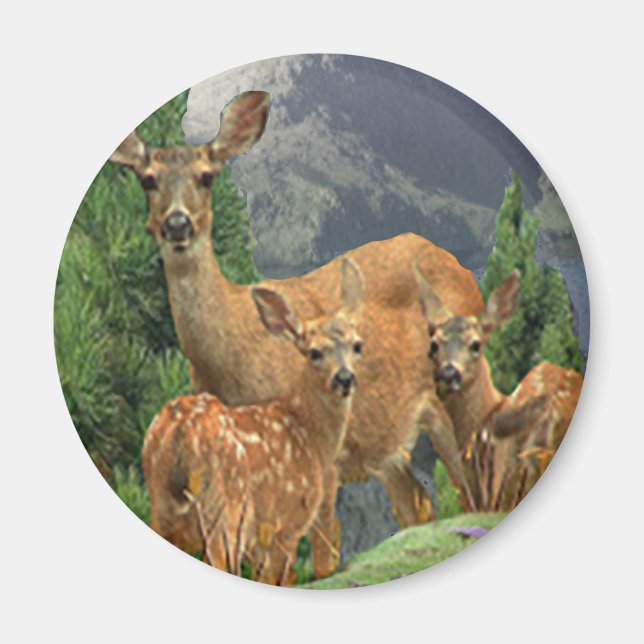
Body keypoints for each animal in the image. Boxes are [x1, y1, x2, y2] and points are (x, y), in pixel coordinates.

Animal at [142, 259, 364, 586]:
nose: (345, 378)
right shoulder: (286, 522)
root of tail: (180, 429)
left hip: (161, 503)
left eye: (357, 345)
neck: (309, 435)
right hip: (226, 506)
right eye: (314, 352)